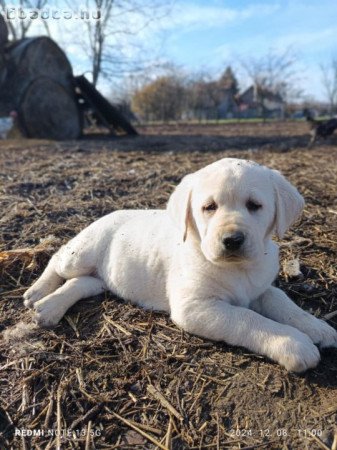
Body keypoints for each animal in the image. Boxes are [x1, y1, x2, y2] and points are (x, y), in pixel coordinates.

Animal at [23, 158, 336, 372]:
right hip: (81, 254)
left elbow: (284, 304)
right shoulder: (195, 307)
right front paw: (293, 343)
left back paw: (50, 308)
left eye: (254, 206)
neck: (237, 269)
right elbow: (248, 319)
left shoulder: (261, 289)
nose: (232, 240)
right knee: (57, 259)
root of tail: (105, 214)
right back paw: (38, 293)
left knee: (84, 282)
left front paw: (317, 327)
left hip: (103, 276)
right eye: (209, 207)